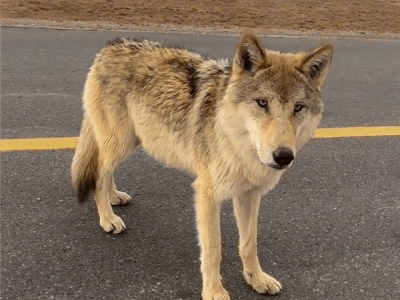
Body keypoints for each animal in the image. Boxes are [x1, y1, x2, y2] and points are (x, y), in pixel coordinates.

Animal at [70, 33, 332, 300]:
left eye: (298, 108)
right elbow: (213, 249)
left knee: (105, 170)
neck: (237, 143)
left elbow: (249, 243)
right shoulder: (207, 194)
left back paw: (114, 197)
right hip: (120, 142)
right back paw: (108, 218)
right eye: (262, 103)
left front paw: (256, 279)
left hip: (129, 142)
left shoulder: (249, 194)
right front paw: (214, 291)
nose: (283, 156)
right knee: (98, 175)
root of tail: (111, 46)